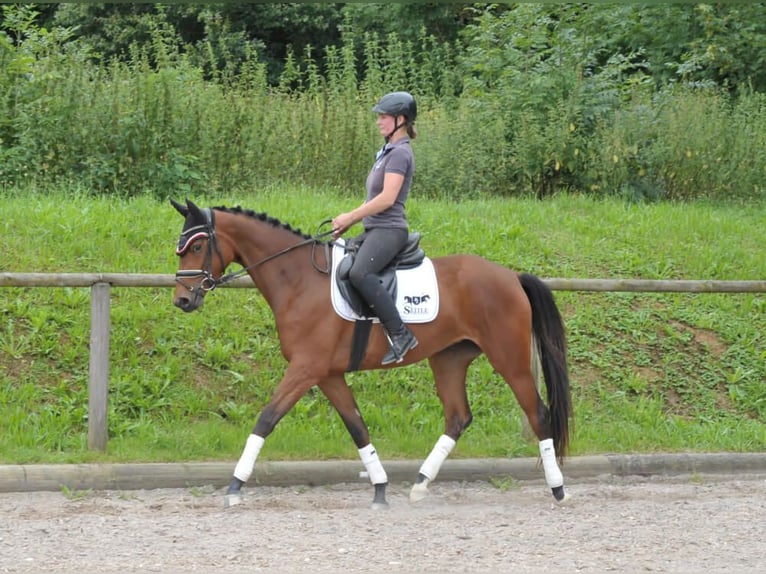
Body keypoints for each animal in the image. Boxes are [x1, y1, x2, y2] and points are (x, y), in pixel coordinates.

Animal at [171, 198, 572, 508]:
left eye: (196, 247)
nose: (182, 301)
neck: (299, 280)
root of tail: (511, 276)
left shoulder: (305, 369)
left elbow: (266, 419)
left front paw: (235, 486)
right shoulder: (328, 374)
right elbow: (357, 426)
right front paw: (379, 487)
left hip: (509, 358)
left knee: (537, 412)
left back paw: (558, 489)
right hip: (449, 359)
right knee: (458, 417)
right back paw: (420, 484)